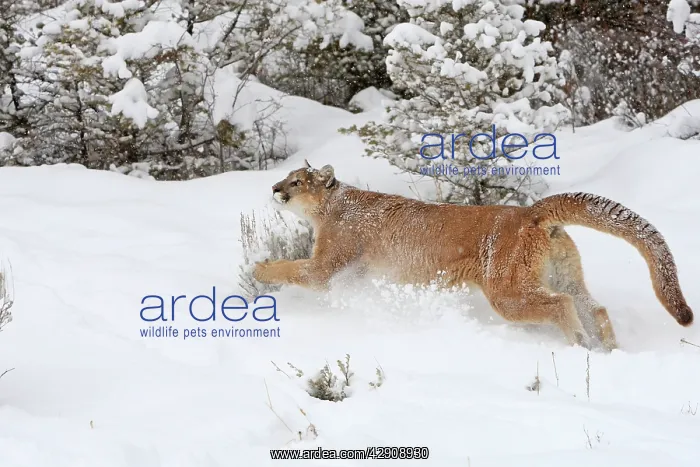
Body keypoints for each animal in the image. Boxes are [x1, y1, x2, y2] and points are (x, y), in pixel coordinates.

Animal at [253, 161, 693, 350]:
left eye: (296, 181)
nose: (274, 188)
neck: (331, 207)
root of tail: (530, 212)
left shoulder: (328, 264)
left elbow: (295, 269)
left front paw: (259, 269)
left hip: (507, 289)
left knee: (561, 305)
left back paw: (578, 343)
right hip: (563, 273)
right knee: (591, 305)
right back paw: (608, 349)